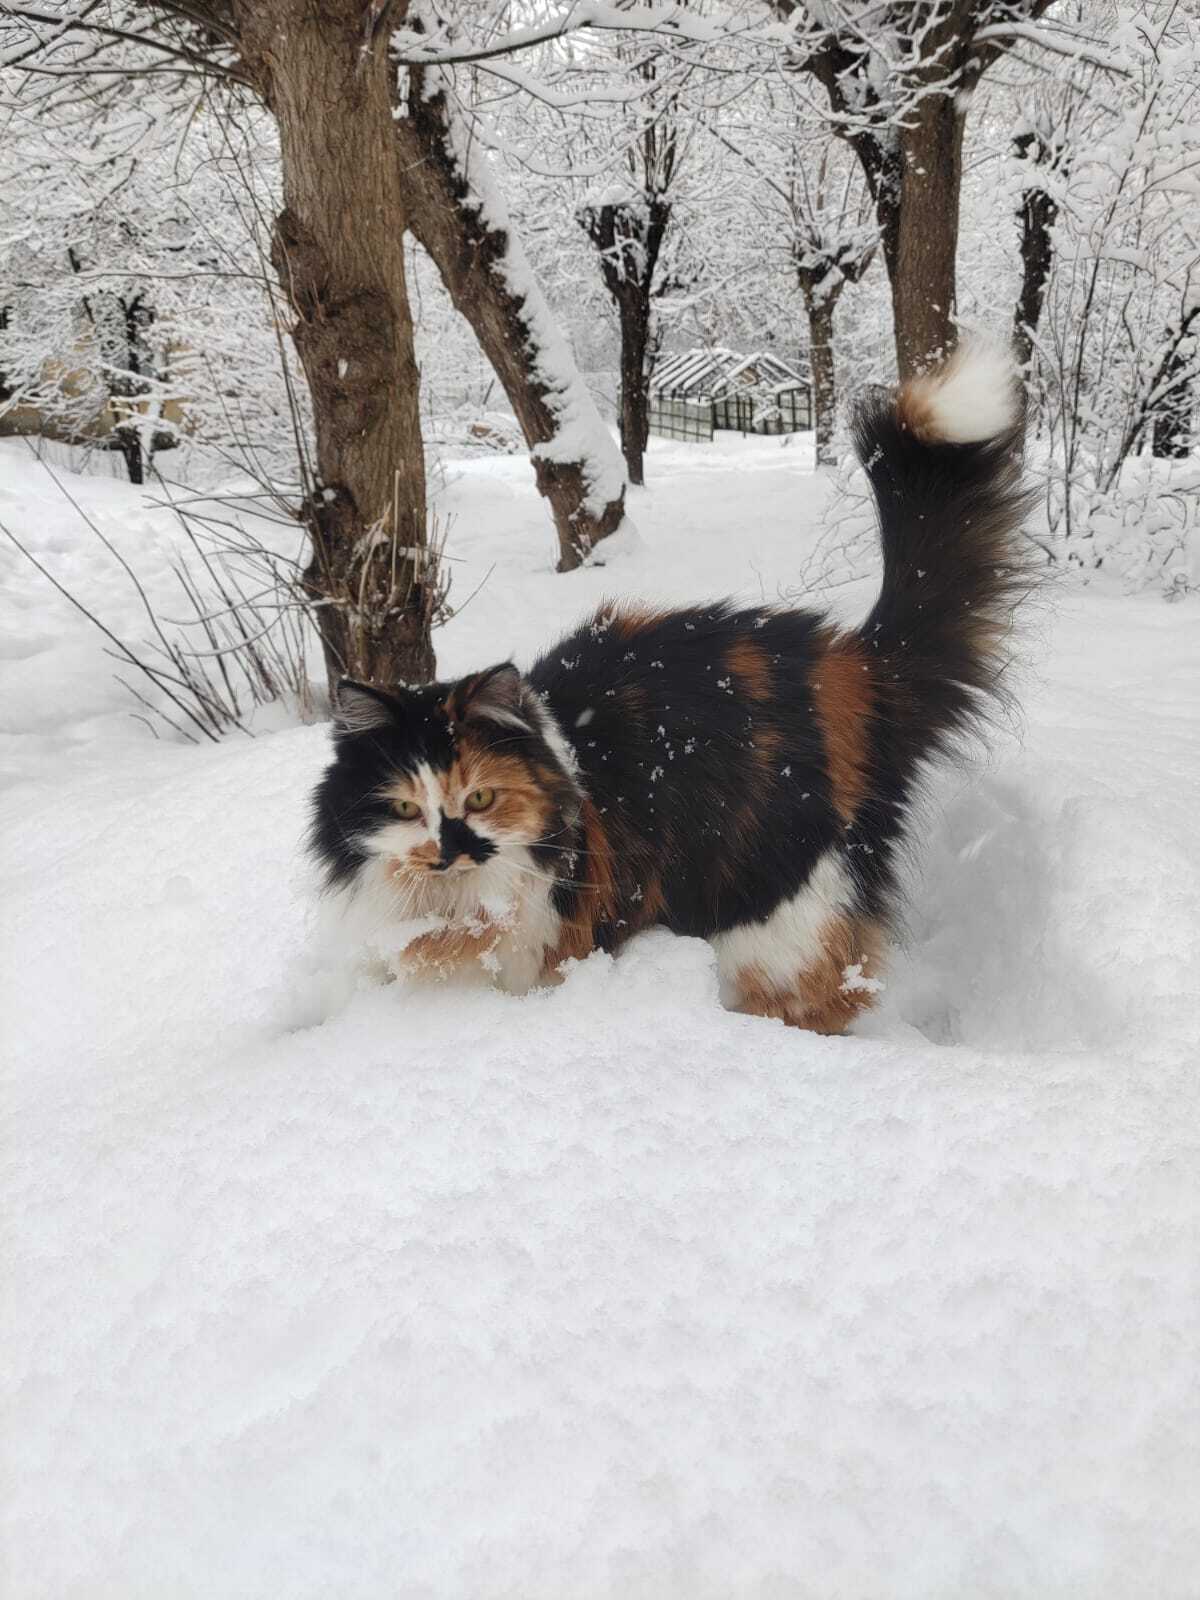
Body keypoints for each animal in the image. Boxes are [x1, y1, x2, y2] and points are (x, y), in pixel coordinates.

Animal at [310, 344, 1036, 1030]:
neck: (452, 908)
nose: (447, 850)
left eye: (482, 797)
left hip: (775, 914)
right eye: (405, 808)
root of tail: (850, 664)